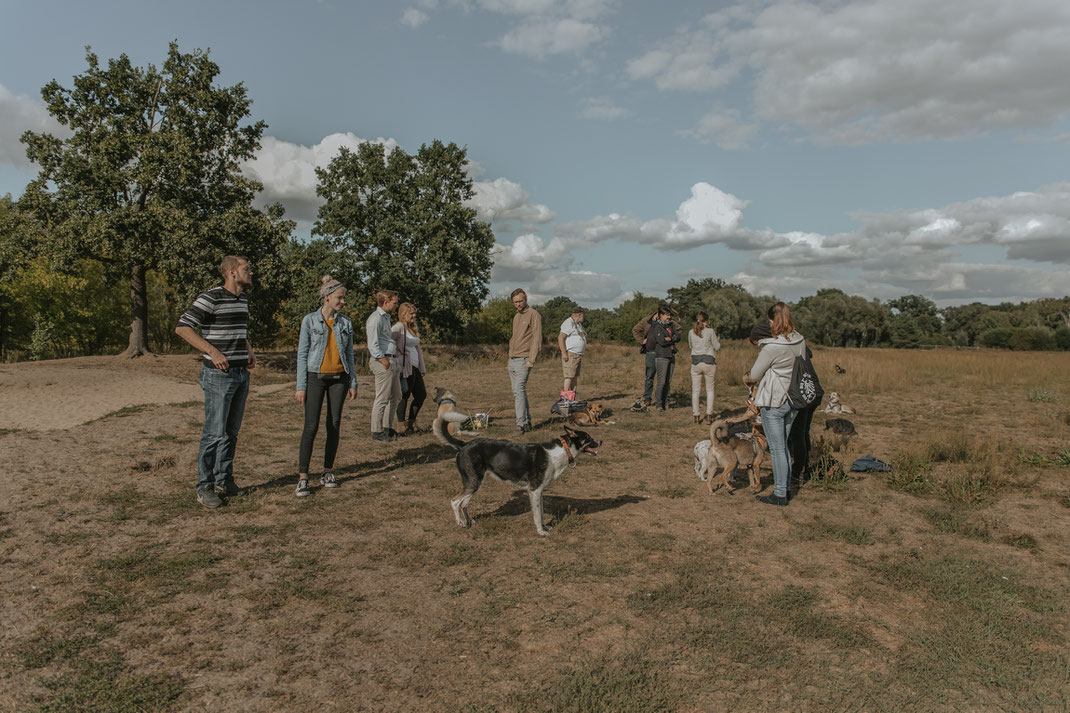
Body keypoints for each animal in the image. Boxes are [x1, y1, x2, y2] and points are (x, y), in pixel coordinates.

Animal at [434, 413, 603, 535]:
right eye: (588, 438)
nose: (601, 441)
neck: (560, 451)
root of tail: (464, 444)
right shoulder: (534, 490)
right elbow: (537, 515)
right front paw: (541, 532)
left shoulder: (539, 491)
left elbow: (541, 513)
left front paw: (545, 527)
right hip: (473, 482)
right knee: (455, 502)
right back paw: (461, 523)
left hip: (474, 483)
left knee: (464, 504)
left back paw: (469, 521)